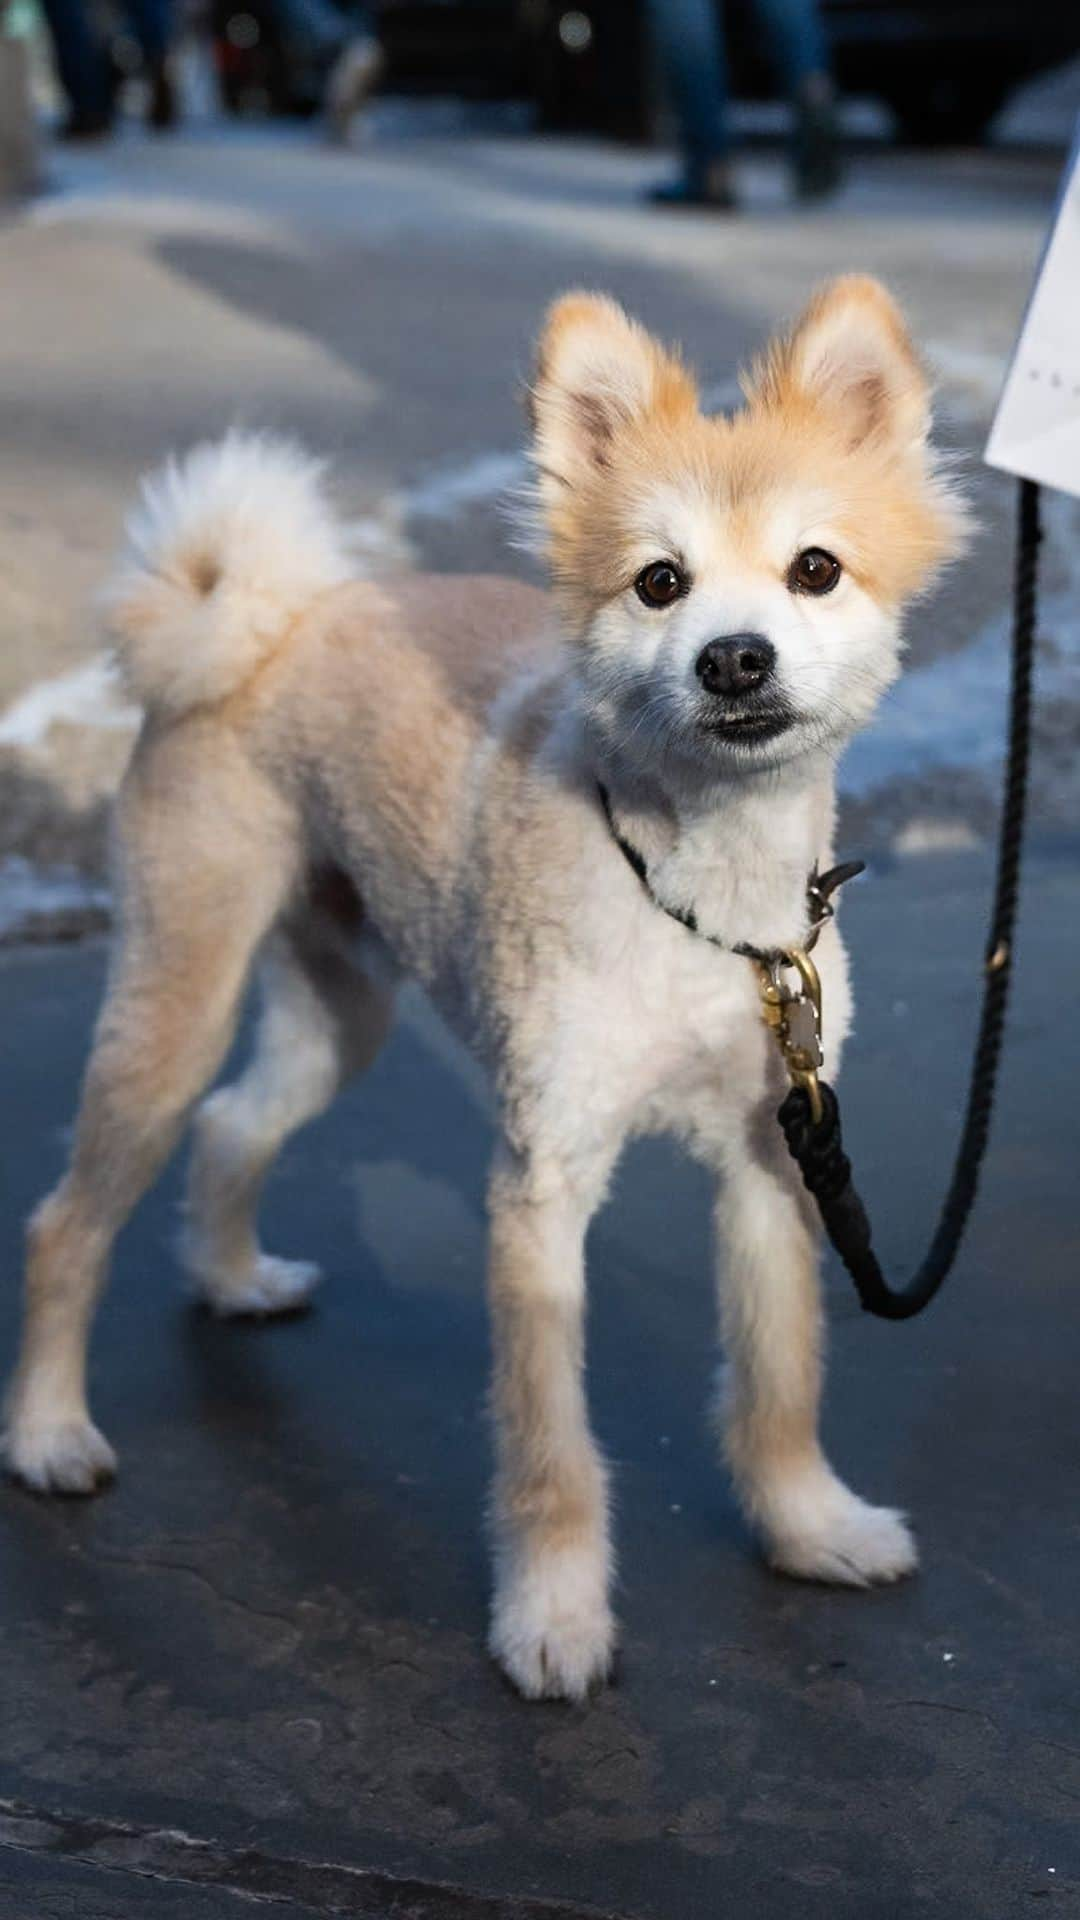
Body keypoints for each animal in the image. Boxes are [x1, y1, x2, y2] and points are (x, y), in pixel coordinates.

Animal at [0, 274, 957, 1697]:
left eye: (816, 568)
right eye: (660, 583)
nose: (734, 658)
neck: (700, 909)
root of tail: (270, 618)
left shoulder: (774, 1163)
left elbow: (780, 1381)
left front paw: (806, 1528)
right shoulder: (541, 1189)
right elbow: (549, 1447)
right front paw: (552, 1619)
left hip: (339, 1014)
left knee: (233, 1127)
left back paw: (232, 1279)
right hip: (176, 1001)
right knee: (67, 1226)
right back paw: (49, 1432)